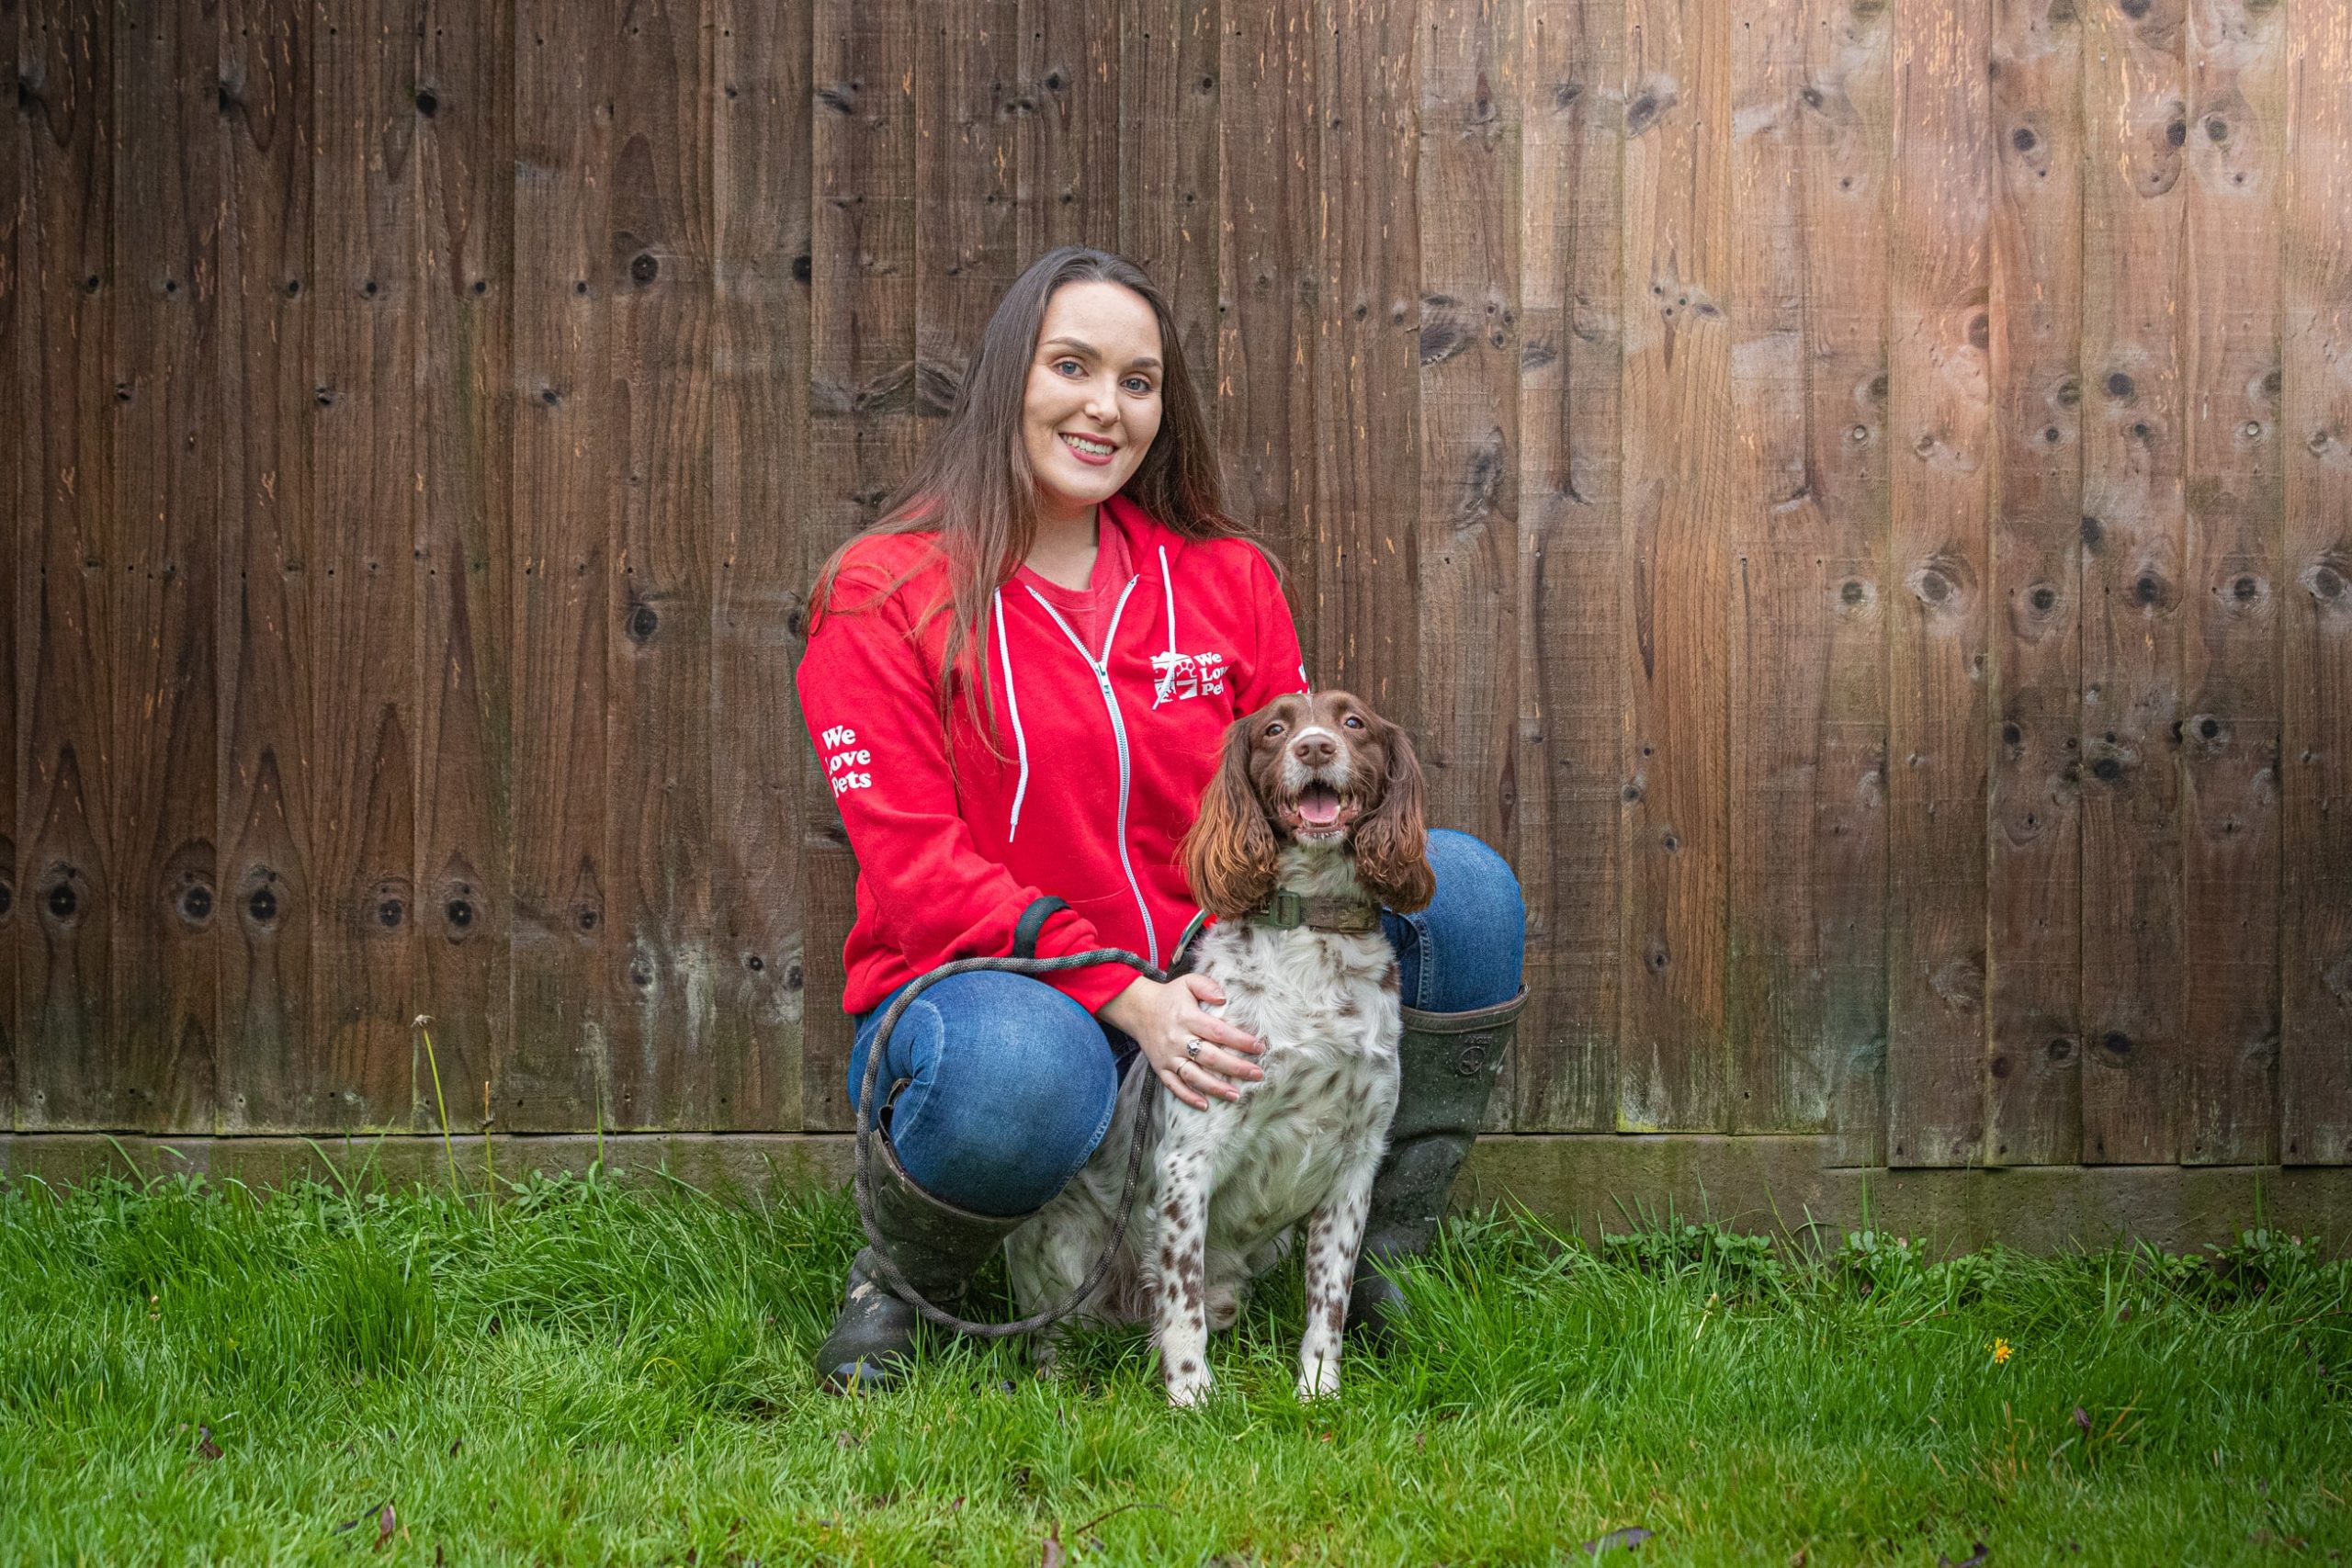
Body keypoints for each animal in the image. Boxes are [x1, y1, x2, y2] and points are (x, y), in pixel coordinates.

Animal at [997, 691, 1420, 1401]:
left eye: (1353, 722)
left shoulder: (1357, 1162)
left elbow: (1328, 1297)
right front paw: (1192, 1396)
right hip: (1056, 1245)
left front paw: (1318, 1390)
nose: (1314, 747)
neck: (1311, 928)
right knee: (1053, 1328)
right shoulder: (1187, 1162)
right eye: (1275, 728)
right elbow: (1181, 1300)